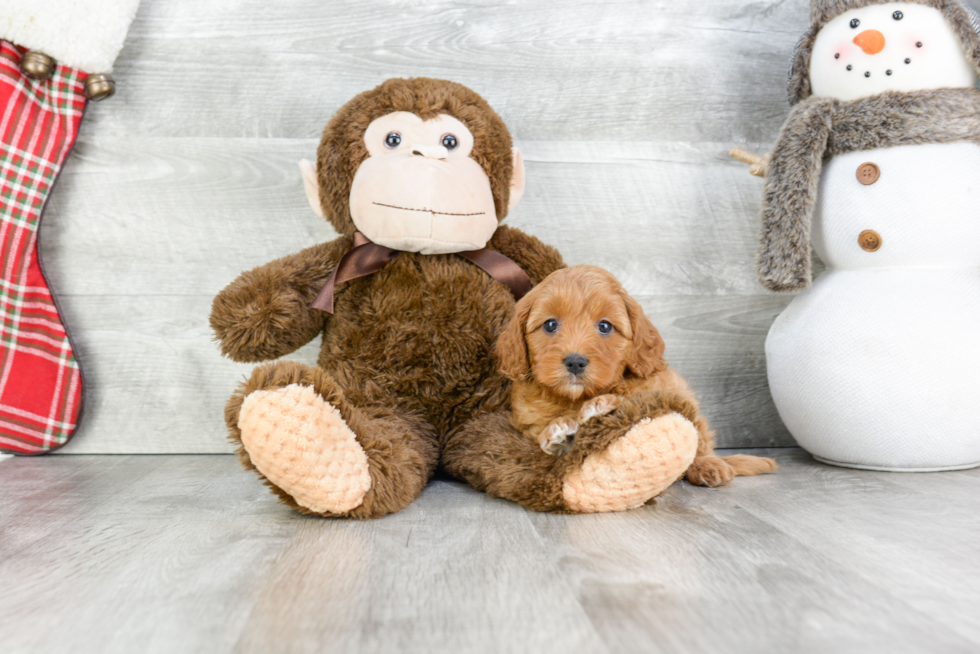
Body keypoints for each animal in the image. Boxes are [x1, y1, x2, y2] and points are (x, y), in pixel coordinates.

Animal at [494, 266, 776, 486]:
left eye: (605, 326)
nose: (575, 362)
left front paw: (599, 406)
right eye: (550, 324)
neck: (575, 399)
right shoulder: (528, 423)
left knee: (701, 440)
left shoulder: (654, 390)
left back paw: (708, 466)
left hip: (687, 400)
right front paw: (560, 432)